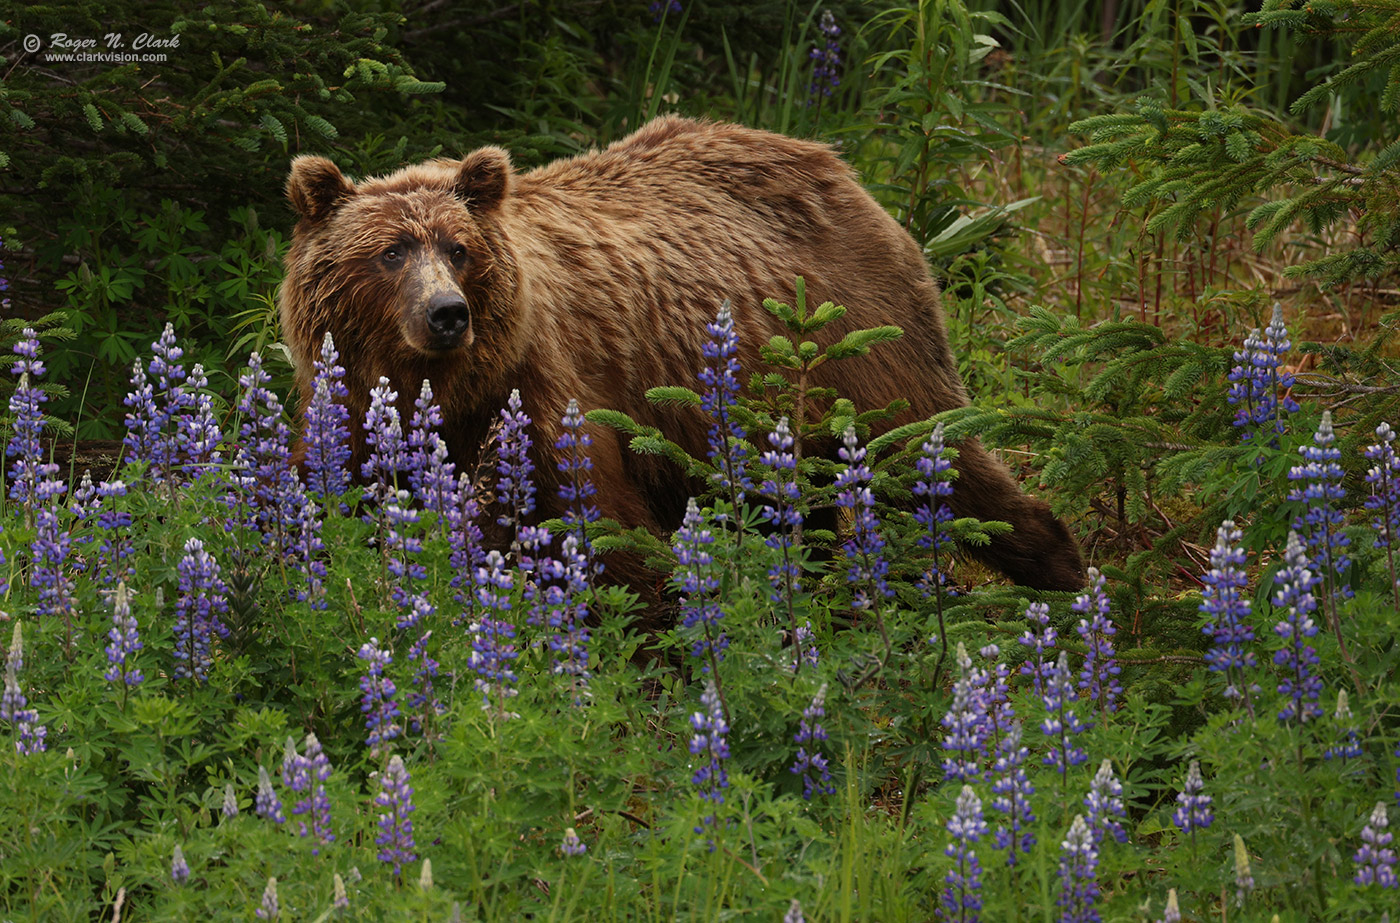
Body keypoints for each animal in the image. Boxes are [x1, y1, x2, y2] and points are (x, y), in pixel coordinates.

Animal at [278, 115, 1086, 591]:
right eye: (389, 251)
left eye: (458, 247)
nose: (448, 314)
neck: (447, 386)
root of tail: (840, 168)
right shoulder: (352, 402)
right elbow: (320, 489)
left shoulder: (546, 389)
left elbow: (602, 522)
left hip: (867, 343)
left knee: (936, 449)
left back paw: (1062, 568)